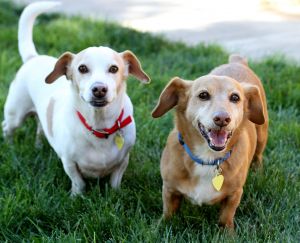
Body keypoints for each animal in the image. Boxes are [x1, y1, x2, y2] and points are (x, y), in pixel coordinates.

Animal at [2, 1, 150, 196]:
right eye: (82, 68)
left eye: (114, 69)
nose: (99, 89)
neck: (99, 126)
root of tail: (33, 57)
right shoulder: (69, 162)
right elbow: (79, 182)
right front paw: (76, 197)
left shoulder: (123, 160)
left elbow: (115, 181)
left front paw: (115, 194)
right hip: (16, 114)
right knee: (7, 127)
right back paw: (10, 146)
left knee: (40, 127)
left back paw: (38, 146)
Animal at [152, 54, 268, 230]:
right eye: (203, 95)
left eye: (235, 97)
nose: (223, 118)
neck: (207, 157)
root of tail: (238, 62)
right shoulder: (169, 189)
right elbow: (168, 213)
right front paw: (162, 226)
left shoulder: (235, 194)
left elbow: (226, 217)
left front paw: (227, 233)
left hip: (262, 135)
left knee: (259, 156)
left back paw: (258, 171)